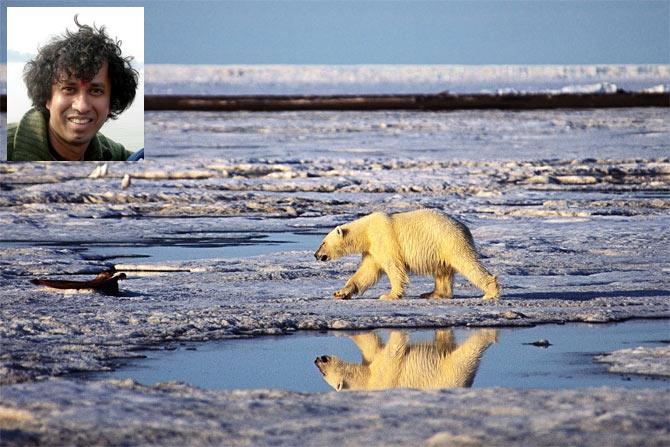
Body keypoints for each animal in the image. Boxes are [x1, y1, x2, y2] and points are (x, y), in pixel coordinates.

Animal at [314, 210, 498, 300]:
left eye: (322, 243)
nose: (316, 255)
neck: (366, 231)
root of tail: (464, 228)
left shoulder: (385, 240)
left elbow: (393, 268)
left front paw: (389, 295)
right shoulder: (372, 250)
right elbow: (366, 272)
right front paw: (340, 293)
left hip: (449, 241)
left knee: (467, 263)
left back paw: (490, 292)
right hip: (441, 249)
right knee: (442, 272)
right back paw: (433, 294)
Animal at [316, 328, 498, 392]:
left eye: (324, 374)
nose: (317, 359)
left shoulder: (384, 376)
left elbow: (390, 353)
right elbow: (373, 348)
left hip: (450, 371)